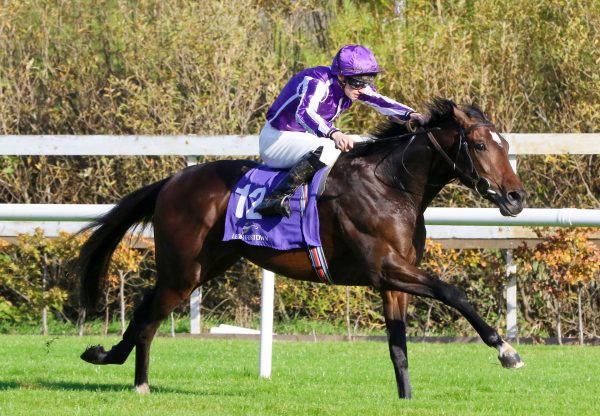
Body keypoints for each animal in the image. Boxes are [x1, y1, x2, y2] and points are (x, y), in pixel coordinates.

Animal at [78, 98, 524, 400]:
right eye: (480, 146)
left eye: (505, 145)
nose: (516, 197)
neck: (392, 187)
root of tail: (171, 181)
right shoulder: (385, 267)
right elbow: (453, 292)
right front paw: (506, 350)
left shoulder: (393, 280)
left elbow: (398, 347)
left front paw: (407, 398)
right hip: (183, 271)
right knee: (148, 316)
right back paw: (131, 376)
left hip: (202, 266)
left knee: (146, 312)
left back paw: (120, 367)